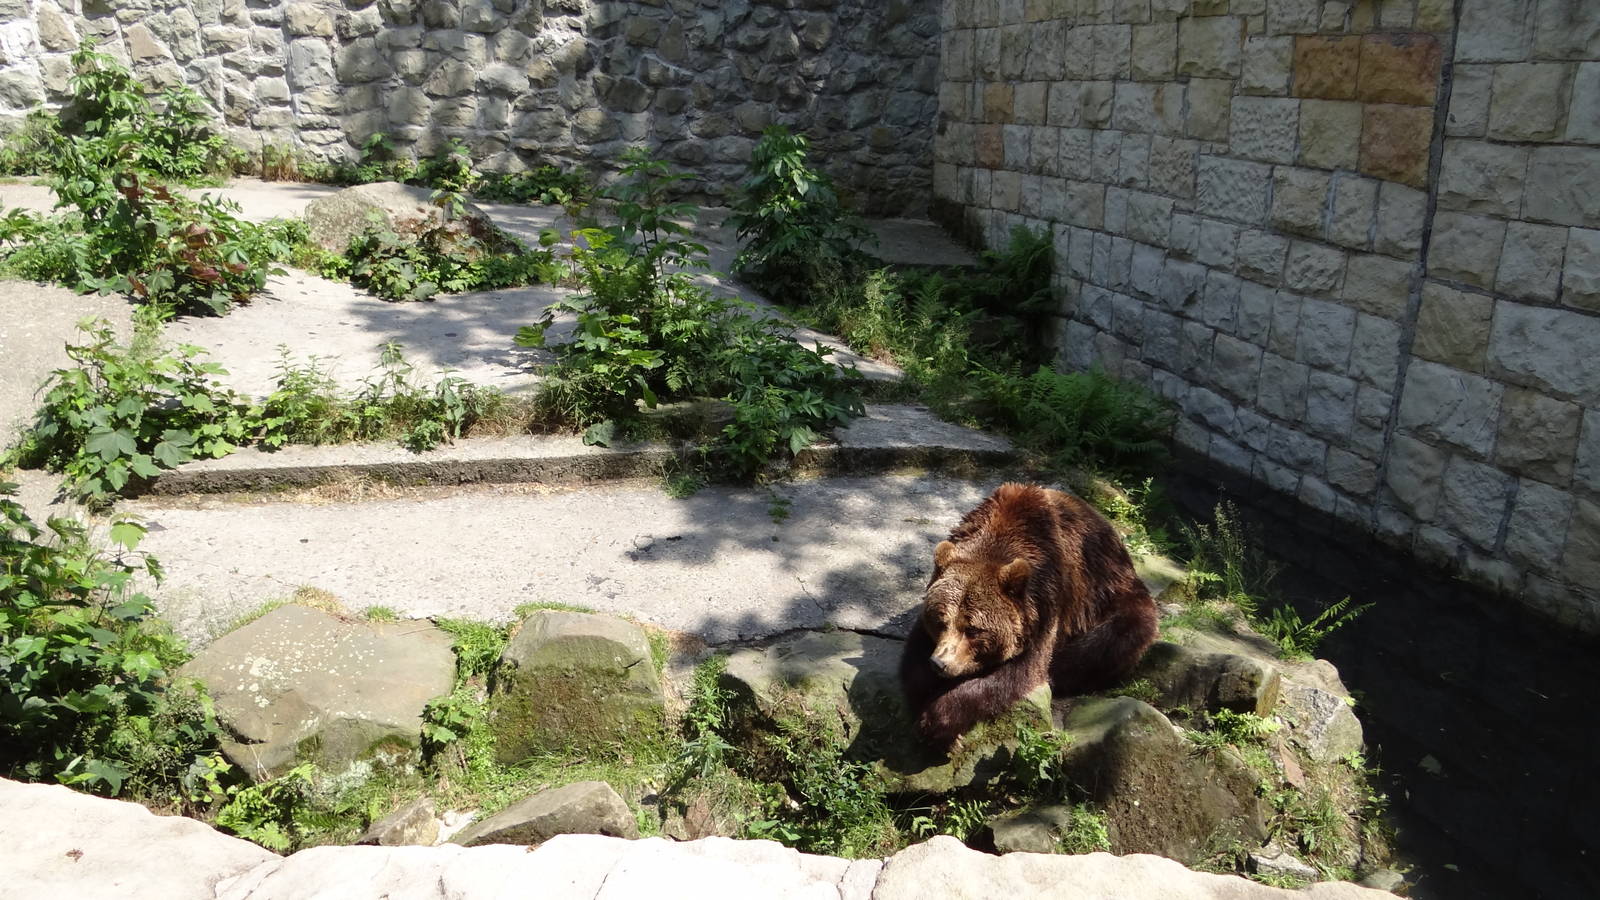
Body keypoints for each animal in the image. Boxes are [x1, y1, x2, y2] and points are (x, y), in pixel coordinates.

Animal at [899, 482, 1159, 749]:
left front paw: (938, 721)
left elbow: (1019, 671)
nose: (940, 662)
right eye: (941, 621)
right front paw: (923, 695)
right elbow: (915, 656)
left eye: (972, 629)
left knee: (1109, 640)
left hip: (1114, 596)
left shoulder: (1046, 602)